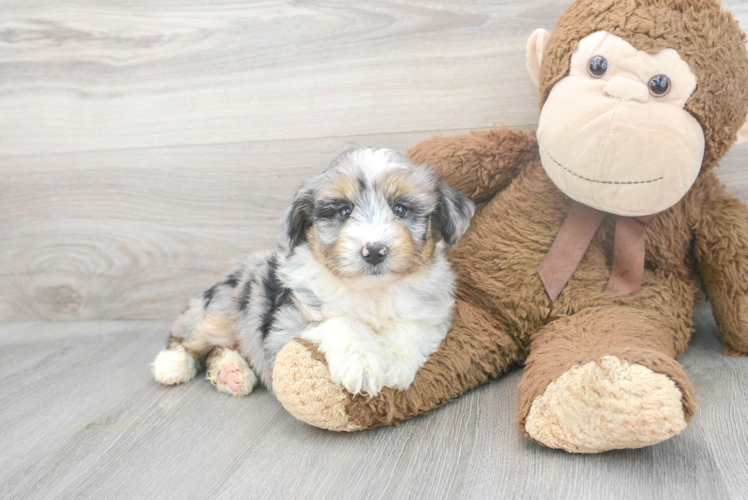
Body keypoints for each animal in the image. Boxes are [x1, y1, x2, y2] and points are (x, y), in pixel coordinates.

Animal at [153, 146, 474, 396]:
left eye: (401, 209)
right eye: (344, 212)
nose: (374, 251)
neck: (371, 292)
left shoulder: (432, 315)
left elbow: (412, 328)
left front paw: (394, 364)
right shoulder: (287, 324)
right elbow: (341, 323)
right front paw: (363, 364)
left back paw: (231, 372)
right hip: (221, 311)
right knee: (188, 339)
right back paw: (173, 365)